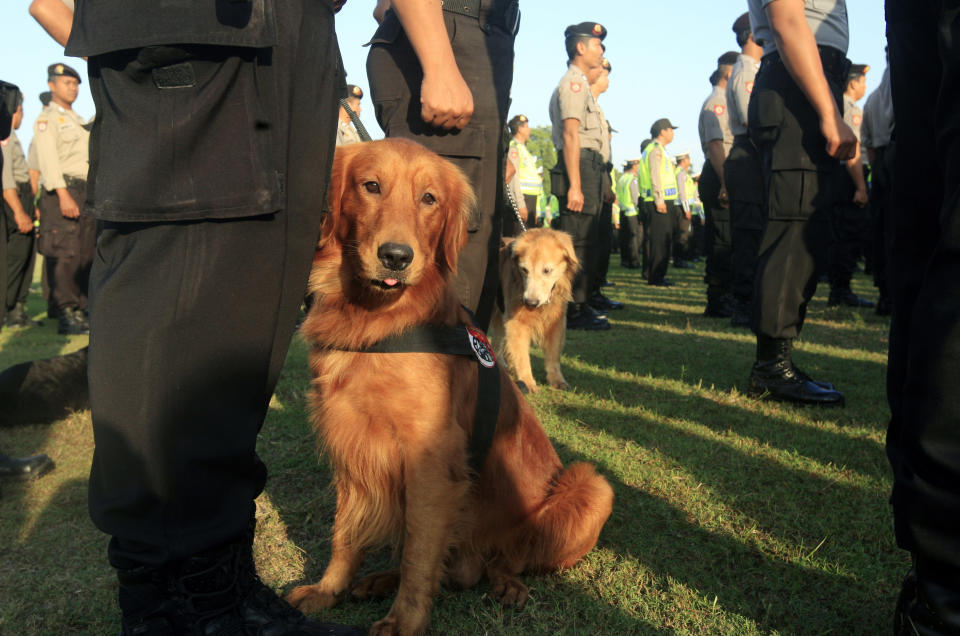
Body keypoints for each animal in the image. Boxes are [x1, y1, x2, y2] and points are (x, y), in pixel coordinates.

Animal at [488, 230, 576, 392]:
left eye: (547, 270)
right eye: (524, 270)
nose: (530, 303)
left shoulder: (557, 321)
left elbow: (554, 355)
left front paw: (557, 380)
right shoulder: (516, 322)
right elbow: (522, 355)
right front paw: (527, 382)